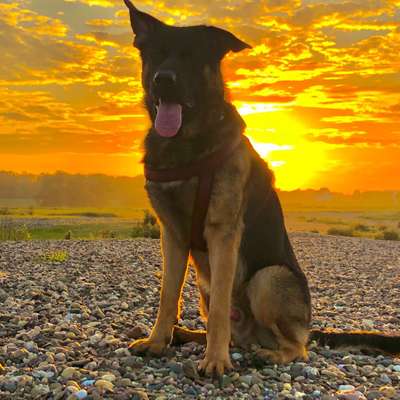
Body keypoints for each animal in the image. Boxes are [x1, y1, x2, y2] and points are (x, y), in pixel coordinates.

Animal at [123, 0, 398, 376]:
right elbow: (168, 296)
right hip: (204, 285)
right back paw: (187, 335)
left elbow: (220, 306)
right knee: (230, 330)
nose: (163, 80)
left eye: (191, 57)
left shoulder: (223, 233)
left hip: (268, 278)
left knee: (297, 348)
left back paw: (265, 354)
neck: (185, 143)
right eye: (157, 55)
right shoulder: (173, 235)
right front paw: (157, 341)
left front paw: (215, 360)